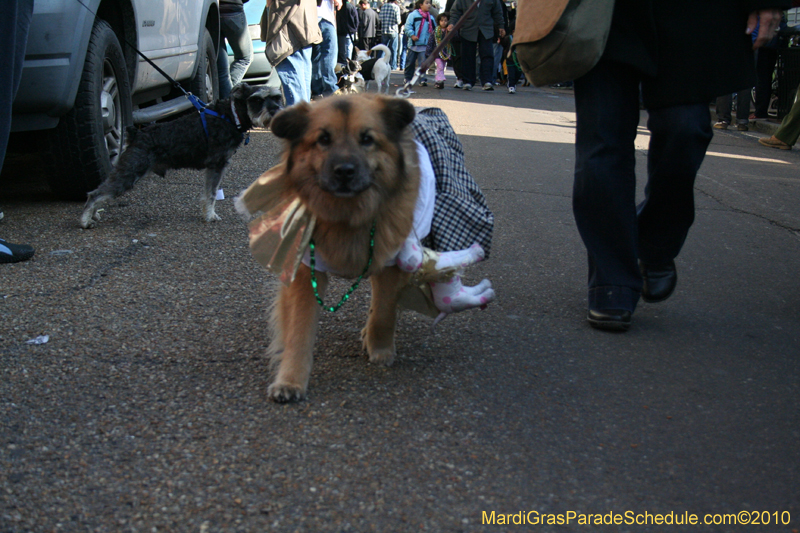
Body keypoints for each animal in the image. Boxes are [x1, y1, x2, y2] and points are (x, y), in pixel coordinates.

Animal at [81, 82, 282, 228]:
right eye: (257, 100)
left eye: (277, 98)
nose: (276, 110)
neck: (231, 117)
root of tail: (136, 133)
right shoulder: (217, 164)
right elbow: (211, 193)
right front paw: (211, 216)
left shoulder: (213, 167)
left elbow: (208, 192)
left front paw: (207, 213)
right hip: (130, 172)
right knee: (95, 194)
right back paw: (85, 220)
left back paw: (94, 215)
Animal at [266, 93, 422, 402]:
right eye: (323, 139)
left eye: (367, 139)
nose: (345, 172)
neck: (347, 215)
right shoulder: (307, 272)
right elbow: (299, 331)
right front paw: (291, 380)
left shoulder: (390, 259)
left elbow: (385, 310)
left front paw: (380, 347)